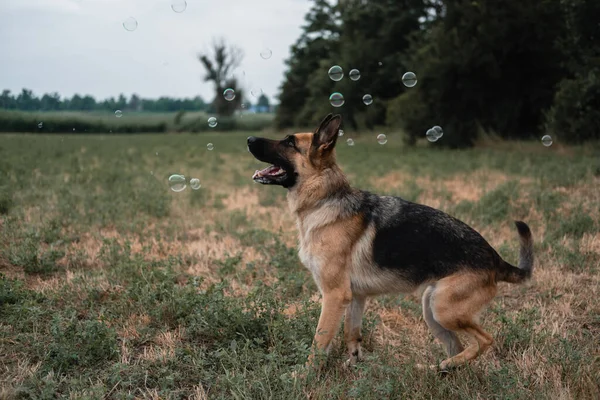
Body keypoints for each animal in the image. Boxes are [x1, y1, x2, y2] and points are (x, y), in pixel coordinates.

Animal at [246, 114, 532, 370]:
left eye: (289, 142)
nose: (248, 138)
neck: (324, 199)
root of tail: (495, 258)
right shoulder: (355, 298)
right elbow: (351, 334)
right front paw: (354, 367)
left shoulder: (334, 296)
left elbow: (319, 342)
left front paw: (302, 377)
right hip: (431, 309)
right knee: (459, 346)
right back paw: (443, 369)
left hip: (443, 308)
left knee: (484, 340)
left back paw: (447, 365)